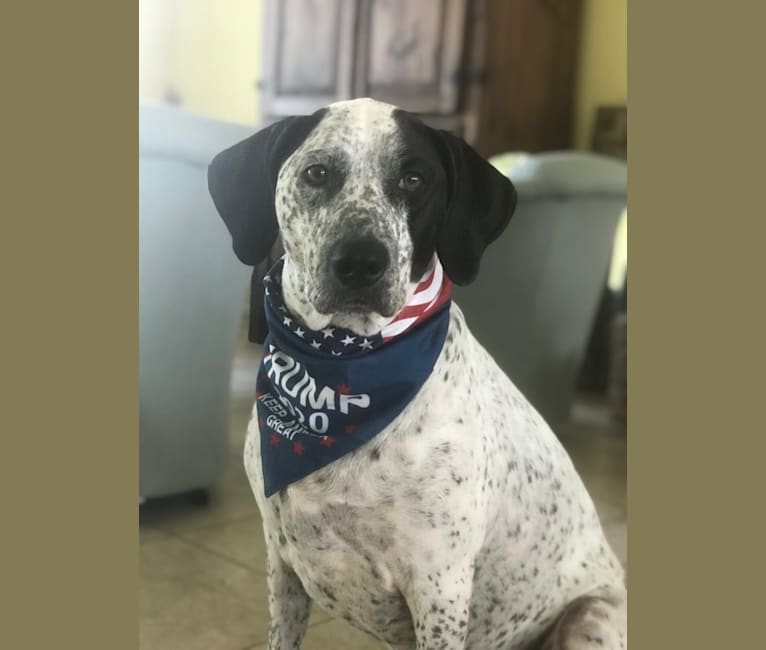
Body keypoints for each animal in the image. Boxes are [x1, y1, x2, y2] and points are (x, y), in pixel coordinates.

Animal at [207, 97, 628, 648]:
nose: (360, 261)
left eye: (414, 180)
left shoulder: (439, 587)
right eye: (317, 172)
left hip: (590, 618)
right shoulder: (283, 566)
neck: (345, 368)